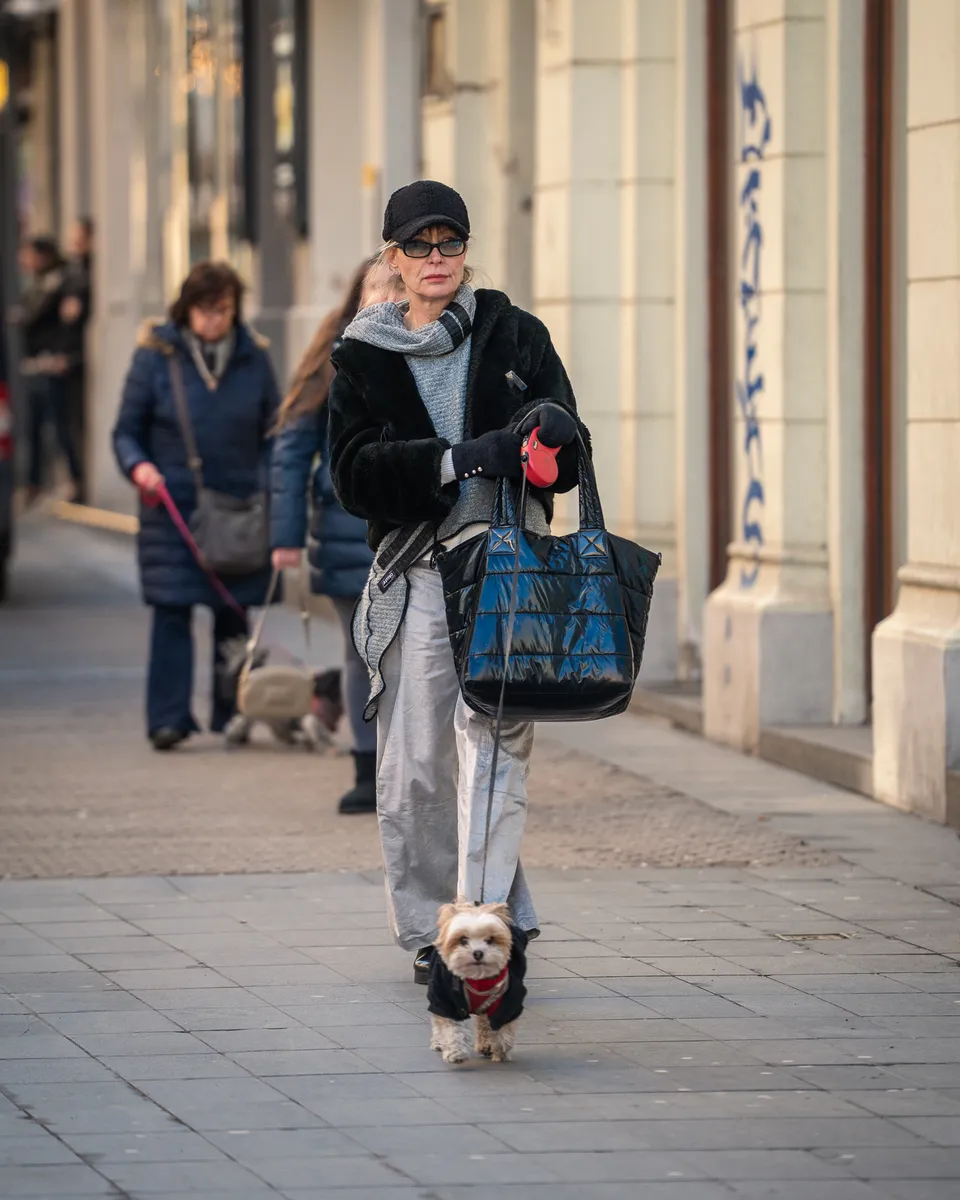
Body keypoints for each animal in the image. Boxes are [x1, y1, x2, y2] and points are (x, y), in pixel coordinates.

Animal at [427, 902, 528, 1060]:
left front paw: (500, 1049)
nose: (478, 953)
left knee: (484, 1022)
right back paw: (439, 1042)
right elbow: (452, 1028)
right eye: (463, 940)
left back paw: (486, 1045)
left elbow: (502, 1026)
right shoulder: (446, 1000)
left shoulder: (508, 1000)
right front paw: (456, 1052)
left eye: (490, 940)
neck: (478, 979)